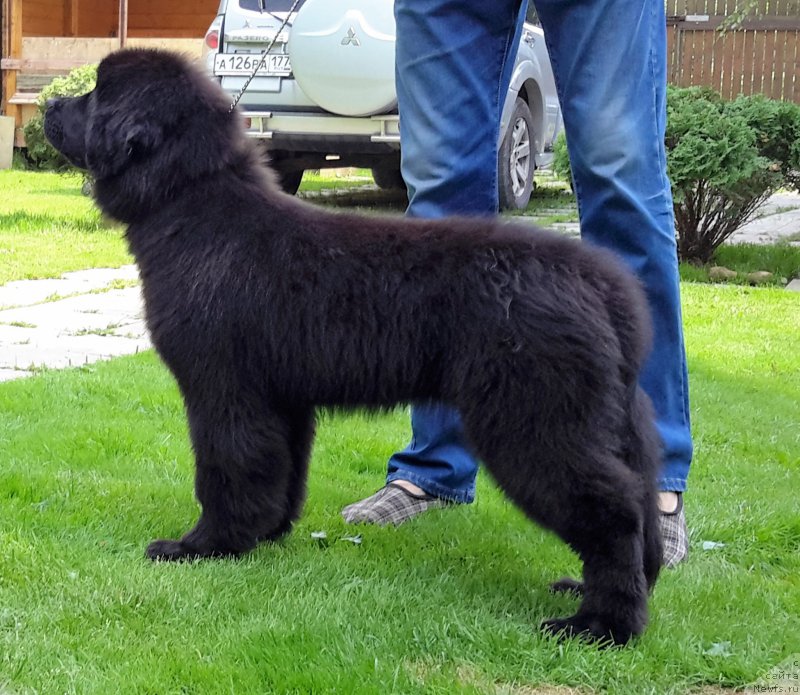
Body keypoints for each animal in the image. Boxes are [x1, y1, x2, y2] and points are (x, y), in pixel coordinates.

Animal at [47, 49, 664, 648]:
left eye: (95, 93)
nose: (50, 105)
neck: (190, 204)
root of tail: (603, 283)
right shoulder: (282, 399)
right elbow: (279, 473)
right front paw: (265, 535)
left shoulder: (223, 389)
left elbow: (226, 468)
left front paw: (203, 546)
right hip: (611, 417)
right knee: (642, 498)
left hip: (535, 419)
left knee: (614, 510)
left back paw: (602, 626)